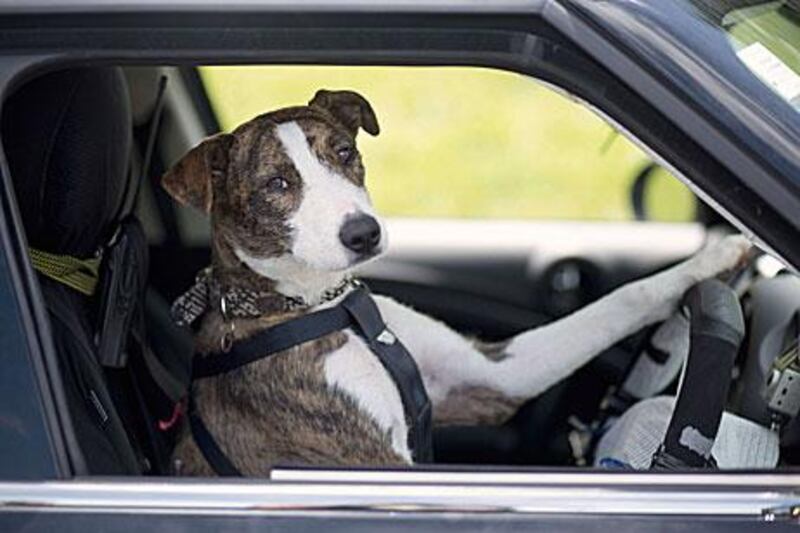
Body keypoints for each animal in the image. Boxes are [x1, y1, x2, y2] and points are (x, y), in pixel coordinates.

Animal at [162, 89, 752, 476]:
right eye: (277, 184)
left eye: (345, 153)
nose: (364, 233)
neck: (318, 305)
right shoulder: (369, 465)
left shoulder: (486, 378)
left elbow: (621, 300)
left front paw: (719, 255)